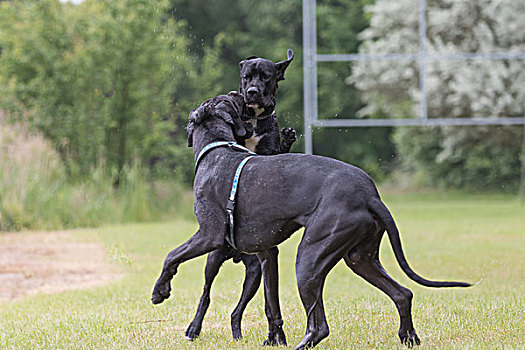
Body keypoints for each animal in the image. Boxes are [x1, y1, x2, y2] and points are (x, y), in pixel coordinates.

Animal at [183, 50, 294, 340]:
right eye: (246, 77)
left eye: (265, 76)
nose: (251, 92)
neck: (253, 120)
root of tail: (235, 254)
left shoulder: (268, 151)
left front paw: (288, 138)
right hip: (213, 260)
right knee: (206, 294)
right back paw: (194, 327)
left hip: (253, 272)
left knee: (238, 310)